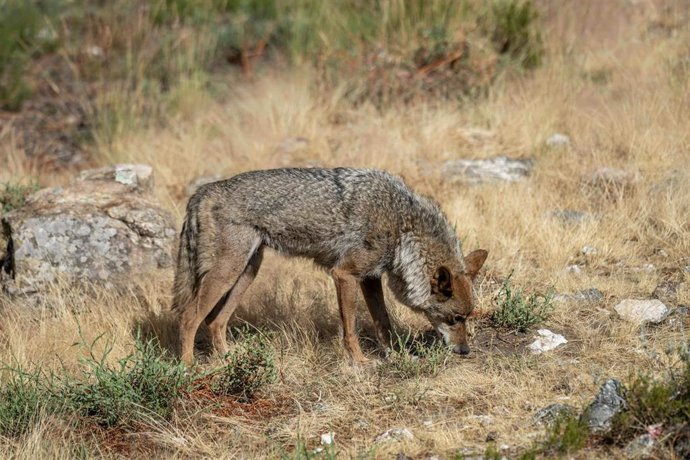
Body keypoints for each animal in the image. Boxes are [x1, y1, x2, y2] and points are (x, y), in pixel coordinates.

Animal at [172, 167, 487, 365]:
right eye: (455, 318)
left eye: (467, 317)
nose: (464, 350)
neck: (402, 226)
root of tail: (202, 192)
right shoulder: (344, 274)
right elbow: (350, 329)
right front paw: (360, 362)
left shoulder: (369, 278)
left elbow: (383, 323)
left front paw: (397, 355)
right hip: (228, 272)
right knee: (189, 318)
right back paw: (188, 369)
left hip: (247, 271)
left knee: (215, 321)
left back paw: (230, 359)